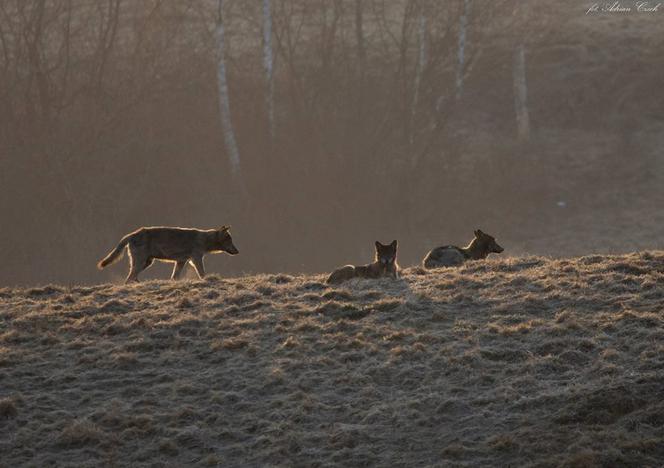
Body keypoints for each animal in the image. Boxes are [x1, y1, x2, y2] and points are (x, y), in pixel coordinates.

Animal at [98, 226, 239, 284]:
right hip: (142, 262)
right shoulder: (196, 259)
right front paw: (207, 280)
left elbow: (174, 277)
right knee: (129, 277)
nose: (238, 251)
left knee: (132, 276)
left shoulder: (181, 261)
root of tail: (131, 234)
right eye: (230, 240)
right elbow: (202, 273)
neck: (204, 239)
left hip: (147, 262)